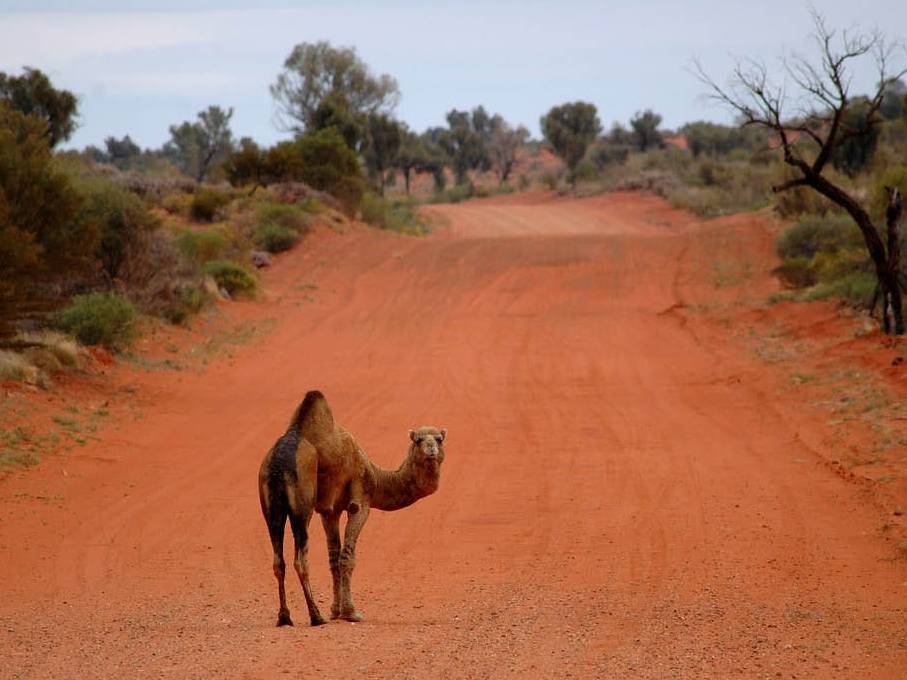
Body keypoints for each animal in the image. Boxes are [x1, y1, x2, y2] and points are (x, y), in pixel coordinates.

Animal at [258, 388, 446, 628]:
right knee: (300, 559)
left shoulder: (329, 511)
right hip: (302, 505)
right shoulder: (360, 502)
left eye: (439, 439)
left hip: (271, 507)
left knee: (277, 560)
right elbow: (347, 557)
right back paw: (315, 616)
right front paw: (350, 612)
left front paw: (335, 611)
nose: (431, 449)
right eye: (418, 439)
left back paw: (284, 617)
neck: (375, 476)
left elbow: (333, 558)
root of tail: (277, 463)